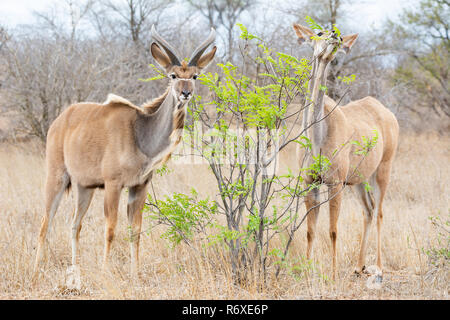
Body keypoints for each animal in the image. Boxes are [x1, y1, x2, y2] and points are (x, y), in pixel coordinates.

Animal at [34, 26, 217, 278]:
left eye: (194, 76)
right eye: (173, 75)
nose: (186, 93)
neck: (140, 134)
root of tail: (59, 121)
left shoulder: (139, 186)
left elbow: (135, 231)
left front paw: (135, 274)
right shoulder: (113, 184)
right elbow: (111, 228)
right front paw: (105, 271)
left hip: (84, 187)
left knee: (74, 224)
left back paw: (75, 268)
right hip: (57, 178)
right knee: (45, 222)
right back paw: (36, 271)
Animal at [292, 24, 400, 280]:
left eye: (338, 37)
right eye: (318, 33)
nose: (336, 36)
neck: (317, 135)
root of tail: (389, 114)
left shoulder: (335, 183)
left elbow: (332, 229)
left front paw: (332, 275)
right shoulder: (310, 183)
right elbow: (310, 230)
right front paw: (306, 271)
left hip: (383, 170)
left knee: (379, 212)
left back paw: (378, 267)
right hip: (359, 180)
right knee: (368, 210)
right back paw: (358, 266)